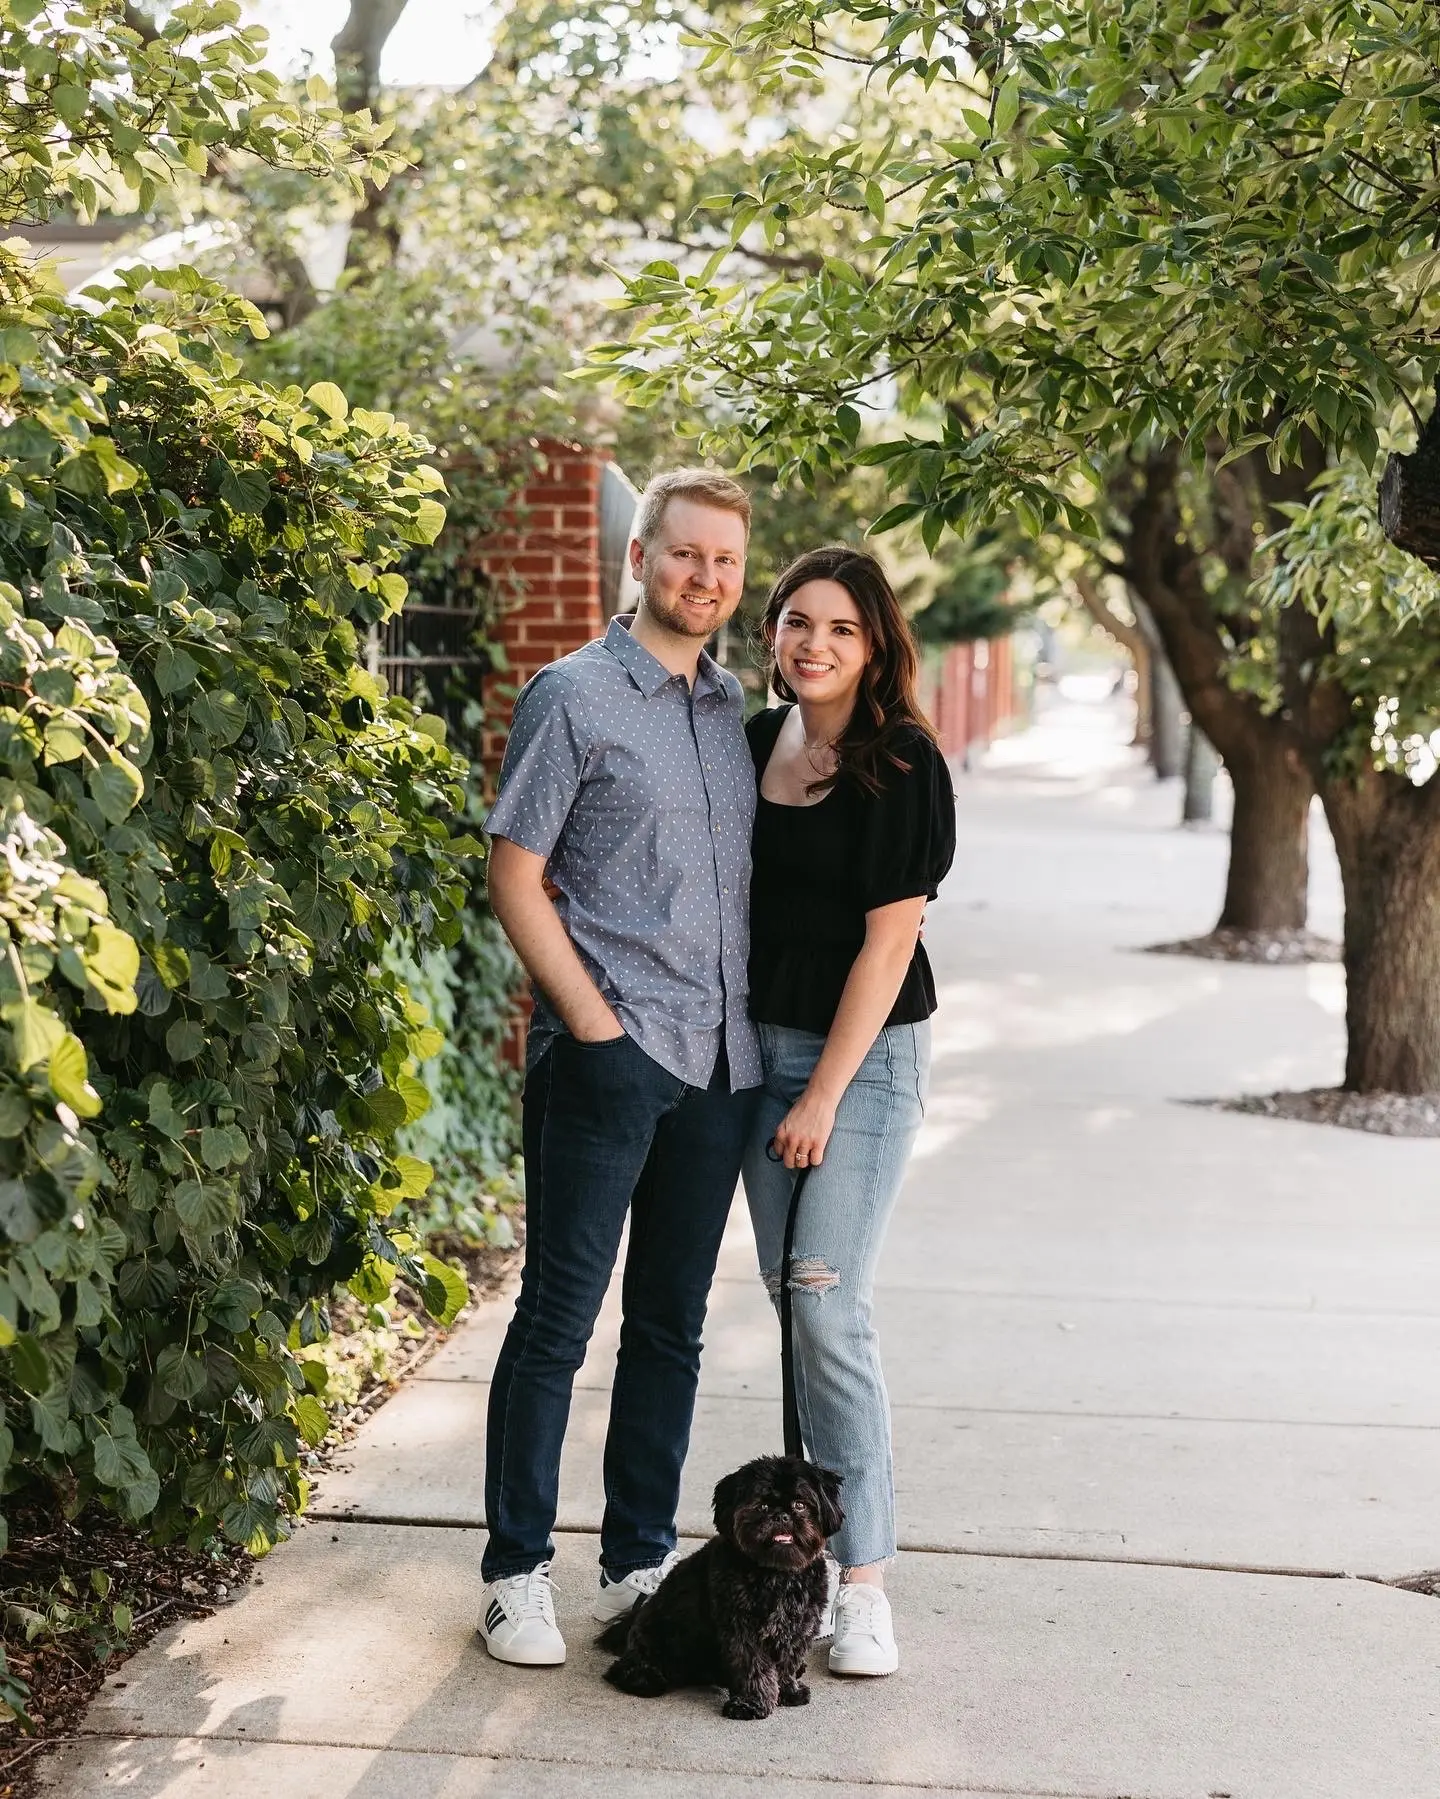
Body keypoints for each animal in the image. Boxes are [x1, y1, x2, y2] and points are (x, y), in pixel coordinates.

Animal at [597, 1453, 842, 1719]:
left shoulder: (798, 1624)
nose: (781, 1516)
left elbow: (788, 1659)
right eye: (762, 1506)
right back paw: (645, 1677)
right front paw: (751, 1703)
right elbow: (752, 1665)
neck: (776, 1572)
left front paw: (788, 1691)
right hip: (657, 1636)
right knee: (626, 1669)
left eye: (799, 1505)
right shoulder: (741, 1627)